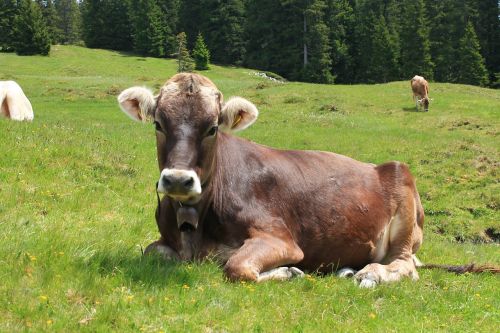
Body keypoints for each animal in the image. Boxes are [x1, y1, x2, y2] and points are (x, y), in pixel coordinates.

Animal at [116, 72, 496, 286]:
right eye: (158, 123)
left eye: (212, 128)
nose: (178, 180)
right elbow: (150, 252)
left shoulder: (280, 238)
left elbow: (237, 267)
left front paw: (289, 273)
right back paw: (346, 270)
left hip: (404, 203)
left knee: (405, 265)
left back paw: (370, 274)